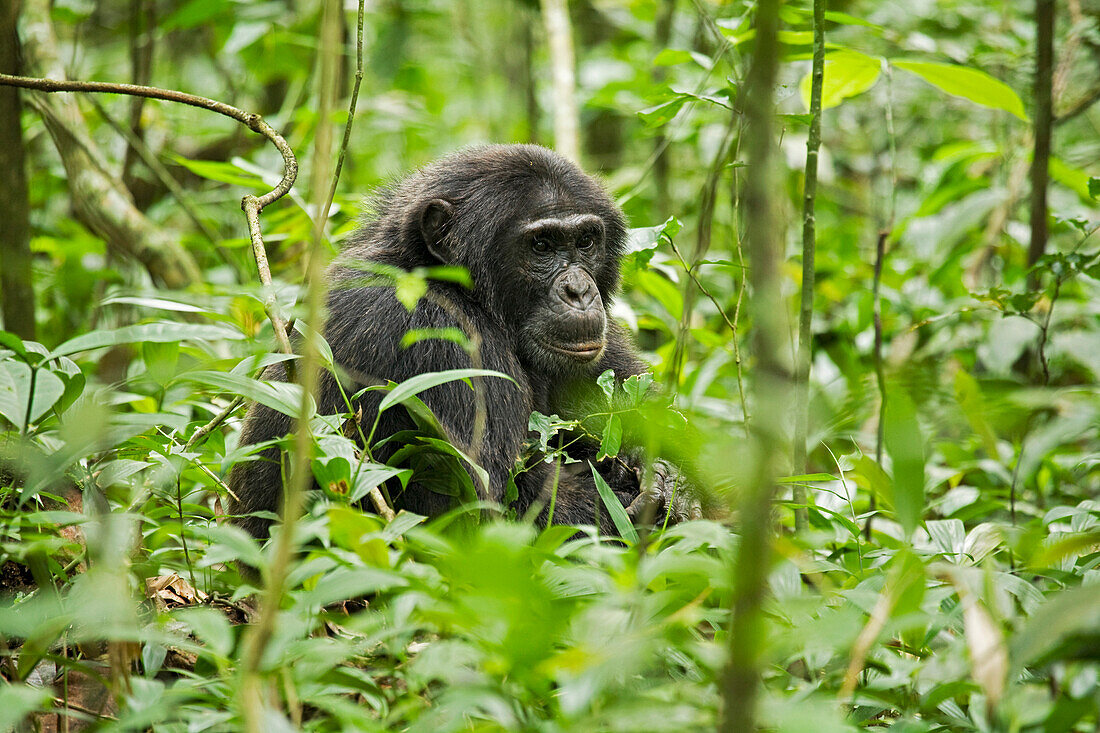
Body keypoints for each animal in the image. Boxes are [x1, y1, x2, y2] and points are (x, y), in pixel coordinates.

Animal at [228, 145, 695, 539]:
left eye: (585, 241)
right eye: (541, 245)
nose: (579, 290)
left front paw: (672, 481)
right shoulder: (440, 342)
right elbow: (485, 516)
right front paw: (653, 496)